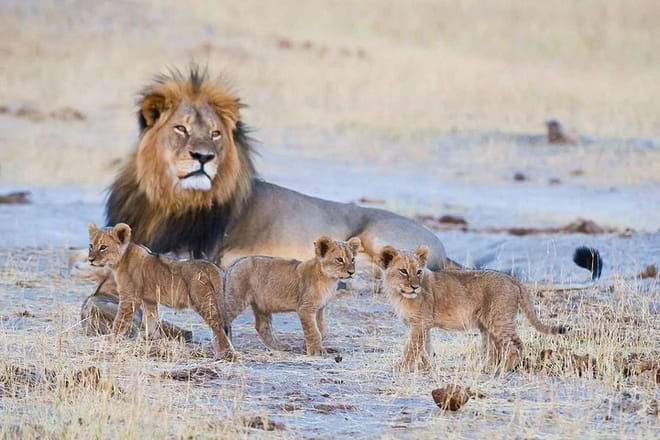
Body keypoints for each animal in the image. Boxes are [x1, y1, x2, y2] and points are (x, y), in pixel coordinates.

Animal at [87, 222, 236, 360]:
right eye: (91, 246)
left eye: (103, 247)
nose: (90, 260)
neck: (121, 259)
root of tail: (210, 266)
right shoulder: (149, 300)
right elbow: (151, 319)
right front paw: (151, 339)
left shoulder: (130, 298)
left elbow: (120, 321)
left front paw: (111, 338)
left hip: (204, 302)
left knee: (218, 327)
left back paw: (227, 355)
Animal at [224, 236, 360, 355]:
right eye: (339, 259)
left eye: (353, 259)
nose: (351, 272)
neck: (329, 280)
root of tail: (234, 264)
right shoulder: (305, 309)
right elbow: (313, 331)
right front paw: (316, 351)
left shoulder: (320, 308)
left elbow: (322, 330)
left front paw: (308, 346)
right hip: (237, 299)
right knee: (223, 317)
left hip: (261, 305)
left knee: (262, 327)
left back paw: (281, 347)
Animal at [377, 245, 567, 372]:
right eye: (403, 271)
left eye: (418, 272)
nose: (415, 287)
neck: (398, 294)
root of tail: (511, 278)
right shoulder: (423, 325)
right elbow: (425, 347)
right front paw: (427, 367)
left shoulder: (420, 323)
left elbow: (411, 348)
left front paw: (399, 366)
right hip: (487, 325)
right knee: (495, 348)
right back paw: (485, 367)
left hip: (499, 319)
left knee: (516, 344)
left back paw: (503, 368)